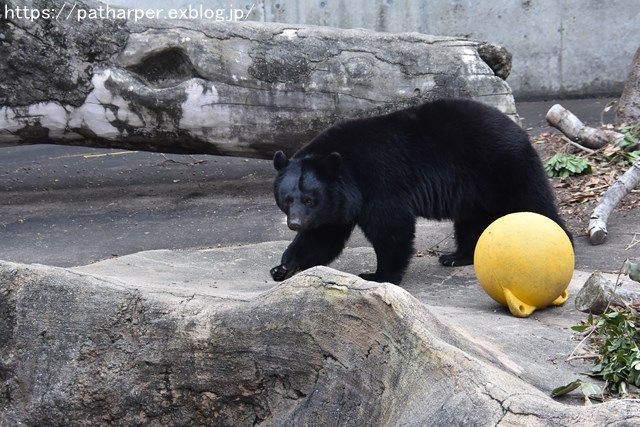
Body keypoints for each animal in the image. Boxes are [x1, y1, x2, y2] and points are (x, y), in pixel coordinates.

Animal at [268, 97, 568, 284]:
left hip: (502, 166)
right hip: (474, 188)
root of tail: (519, 129)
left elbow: (390, 228)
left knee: (531, 203)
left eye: (310, 199)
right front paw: (283, 266)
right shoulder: (340, 201)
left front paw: (378, 275)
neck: (349, 168)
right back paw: (457, 256)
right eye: (287, 199)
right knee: (471, 221)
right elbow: (323, 235)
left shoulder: (379, 181)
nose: (295, 223)